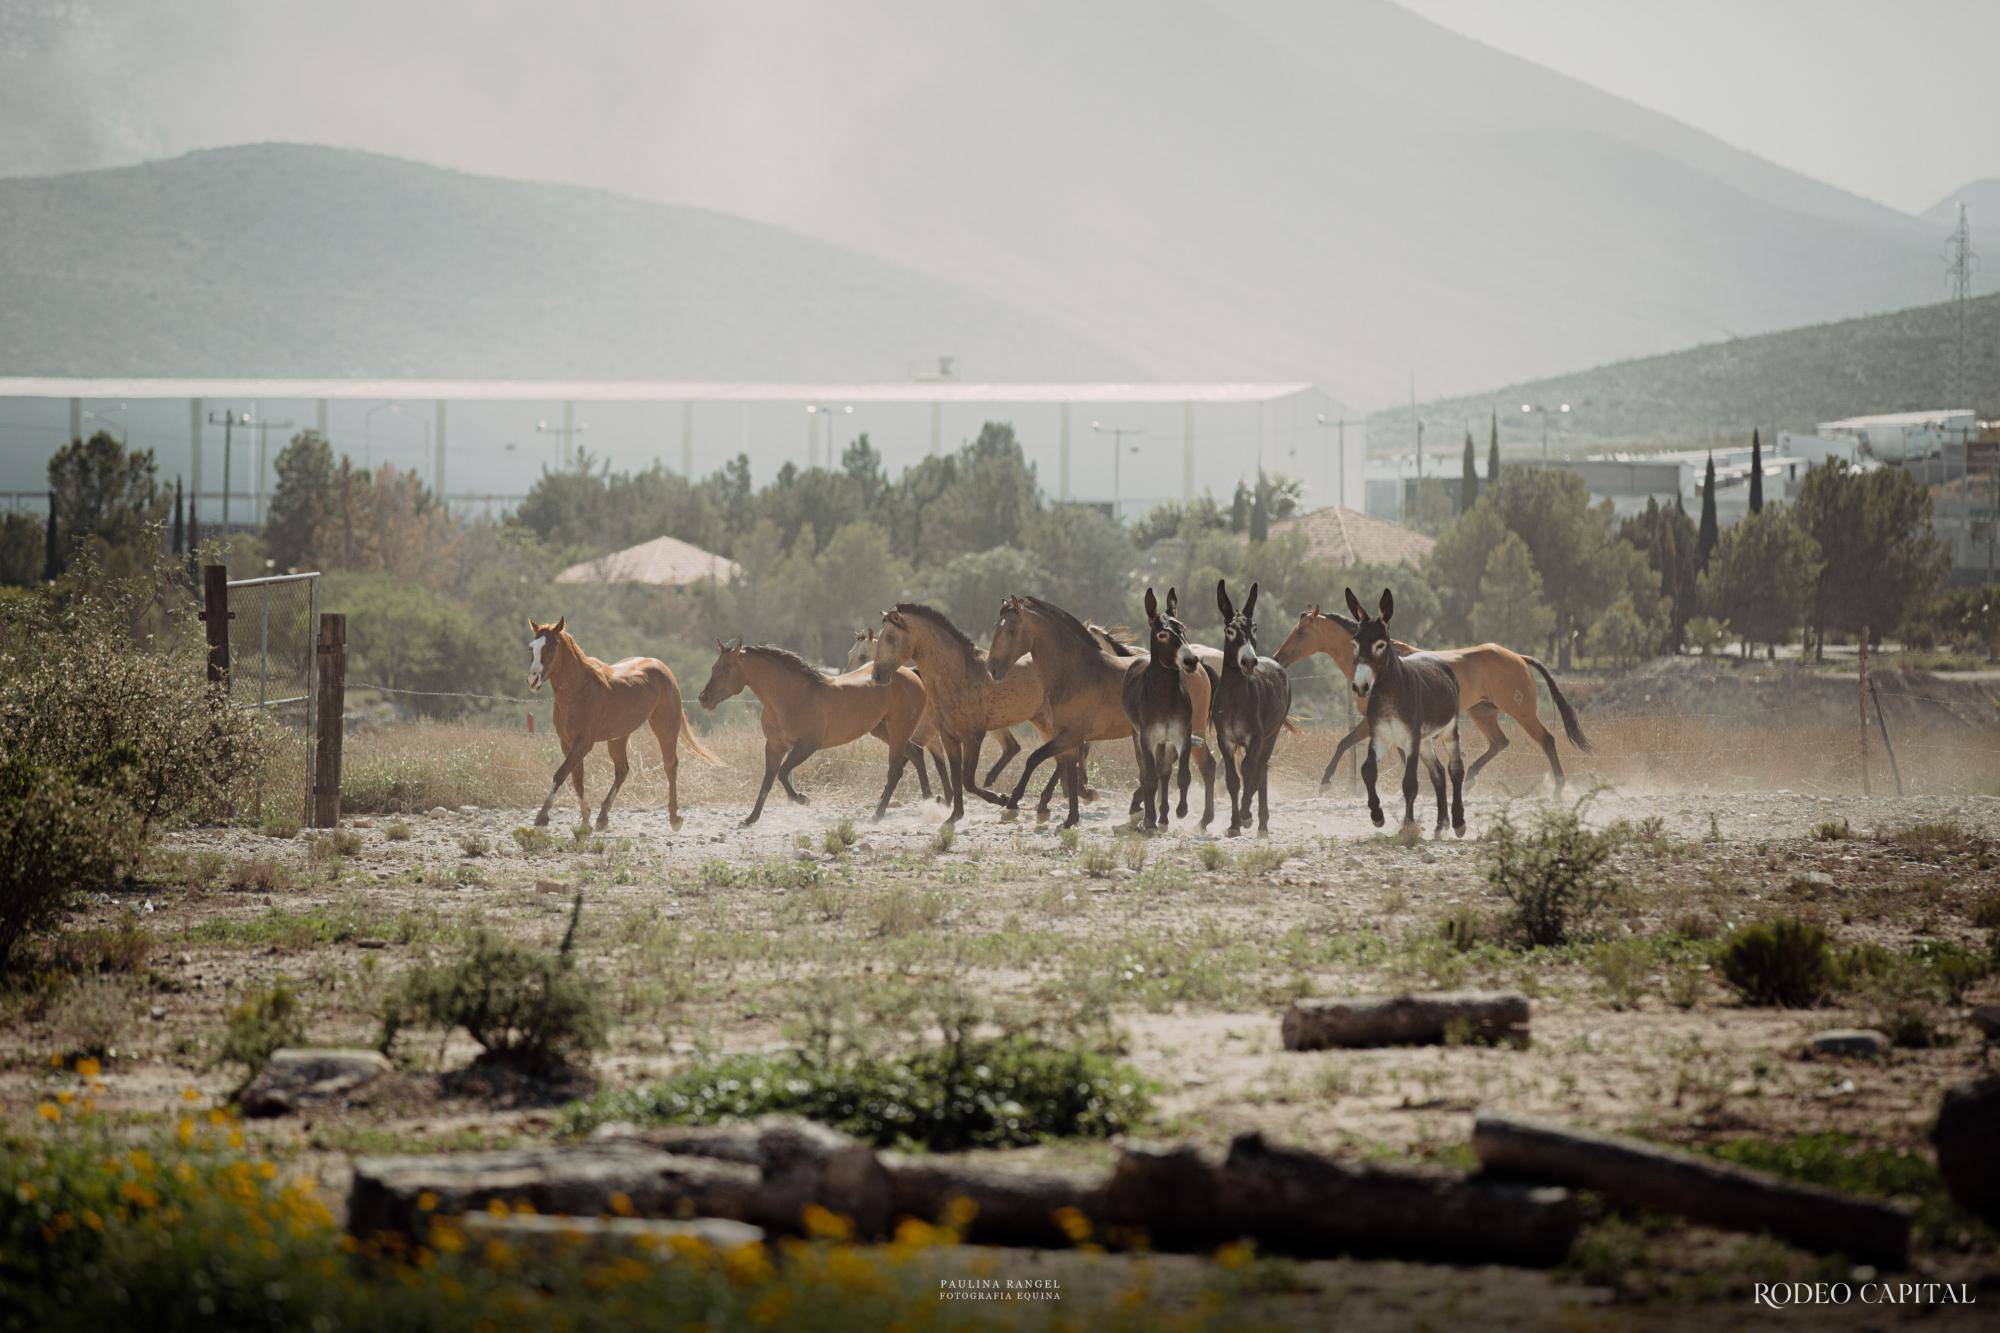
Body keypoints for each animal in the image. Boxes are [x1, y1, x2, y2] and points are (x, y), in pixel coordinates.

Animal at [528, 616, 724, 824]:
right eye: (532, 648)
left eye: (552, 646)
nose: (533, 680)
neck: (580, 690)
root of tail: (662, 667)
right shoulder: (567, 742)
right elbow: (576, 778)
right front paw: (585, 820)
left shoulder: (584, 743)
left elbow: (561, 774)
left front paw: (542, 816)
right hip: (618, 738)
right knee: (622, 770)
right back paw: (602, 818)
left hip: (665, 728)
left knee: (670, 765)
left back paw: (674, 818)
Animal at [700, 640, 924, 824]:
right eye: (713, 667)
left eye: (727, 668)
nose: (704, 698)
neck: (792, 696)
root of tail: (911, 673)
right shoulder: (774, 745)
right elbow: (768, 780)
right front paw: (750, 819)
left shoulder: (806, 746)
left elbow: (782, 773)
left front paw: (802, 799)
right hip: (883, 731)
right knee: (916, 753)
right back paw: (931, 800)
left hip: (898, 730)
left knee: (895, 770)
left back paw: (878, 815)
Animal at [1272, 600, 1584, 788]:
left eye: (1300, 632)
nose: (1278, 657)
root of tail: (1518, 657)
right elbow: (1376, 749)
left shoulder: (1374, 721)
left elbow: (1345, 743)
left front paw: (1325, 782)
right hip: (1482, 712)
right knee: (1500, 742)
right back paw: (1470, 778)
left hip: (1521, 710)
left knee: (1546, 740)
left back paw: (1559, 787)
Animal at [1344, 588, 1472, 836]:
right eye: (1354, 643)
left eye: (1380, 645)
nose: (1360, 686)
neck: (1389, 694)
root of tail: (1434, 657)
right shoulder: (1380, 737)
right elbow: (1367, 770)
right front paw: (1377, 815)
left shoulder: (1410, 739)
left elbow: (1410, 783)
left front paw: (1408, 825)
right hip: (1425, 741)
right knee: (1438, 773)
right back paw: (1441, 825)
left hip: (1448, 730)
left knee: (1455, 769)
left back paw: (1459, 823)